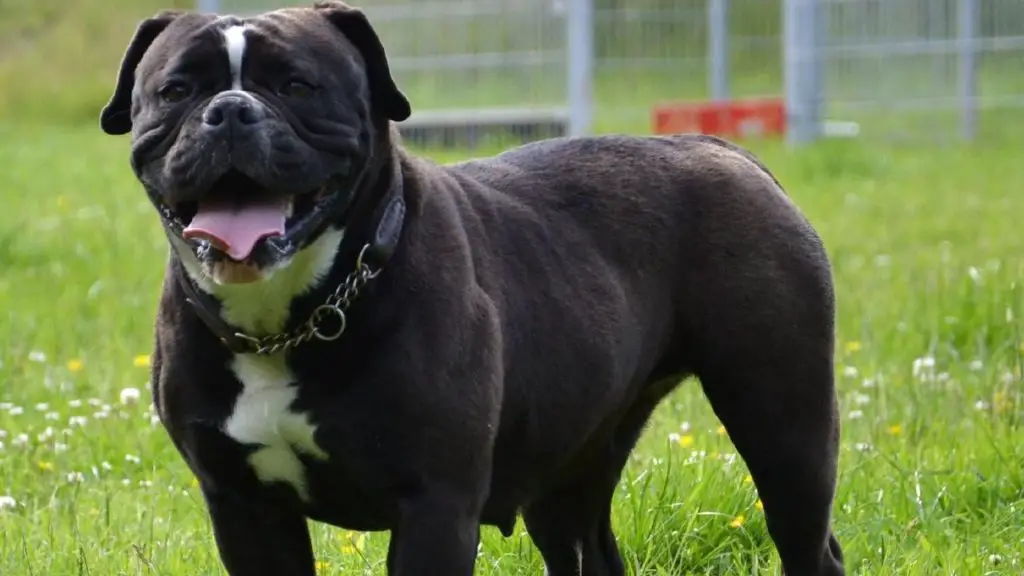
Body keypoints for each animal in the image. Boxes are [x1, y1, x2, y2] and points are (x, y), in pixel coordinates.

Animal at [99, 2, 843, 569]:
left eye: (297, 86)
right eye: (175, 91)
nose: (229, 110)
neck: (291, 320)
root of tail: (722, 149)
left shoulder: (435, 504)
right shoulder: (245, 509)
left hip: (784, 425)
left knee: (808, 540)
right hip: (572, 471)